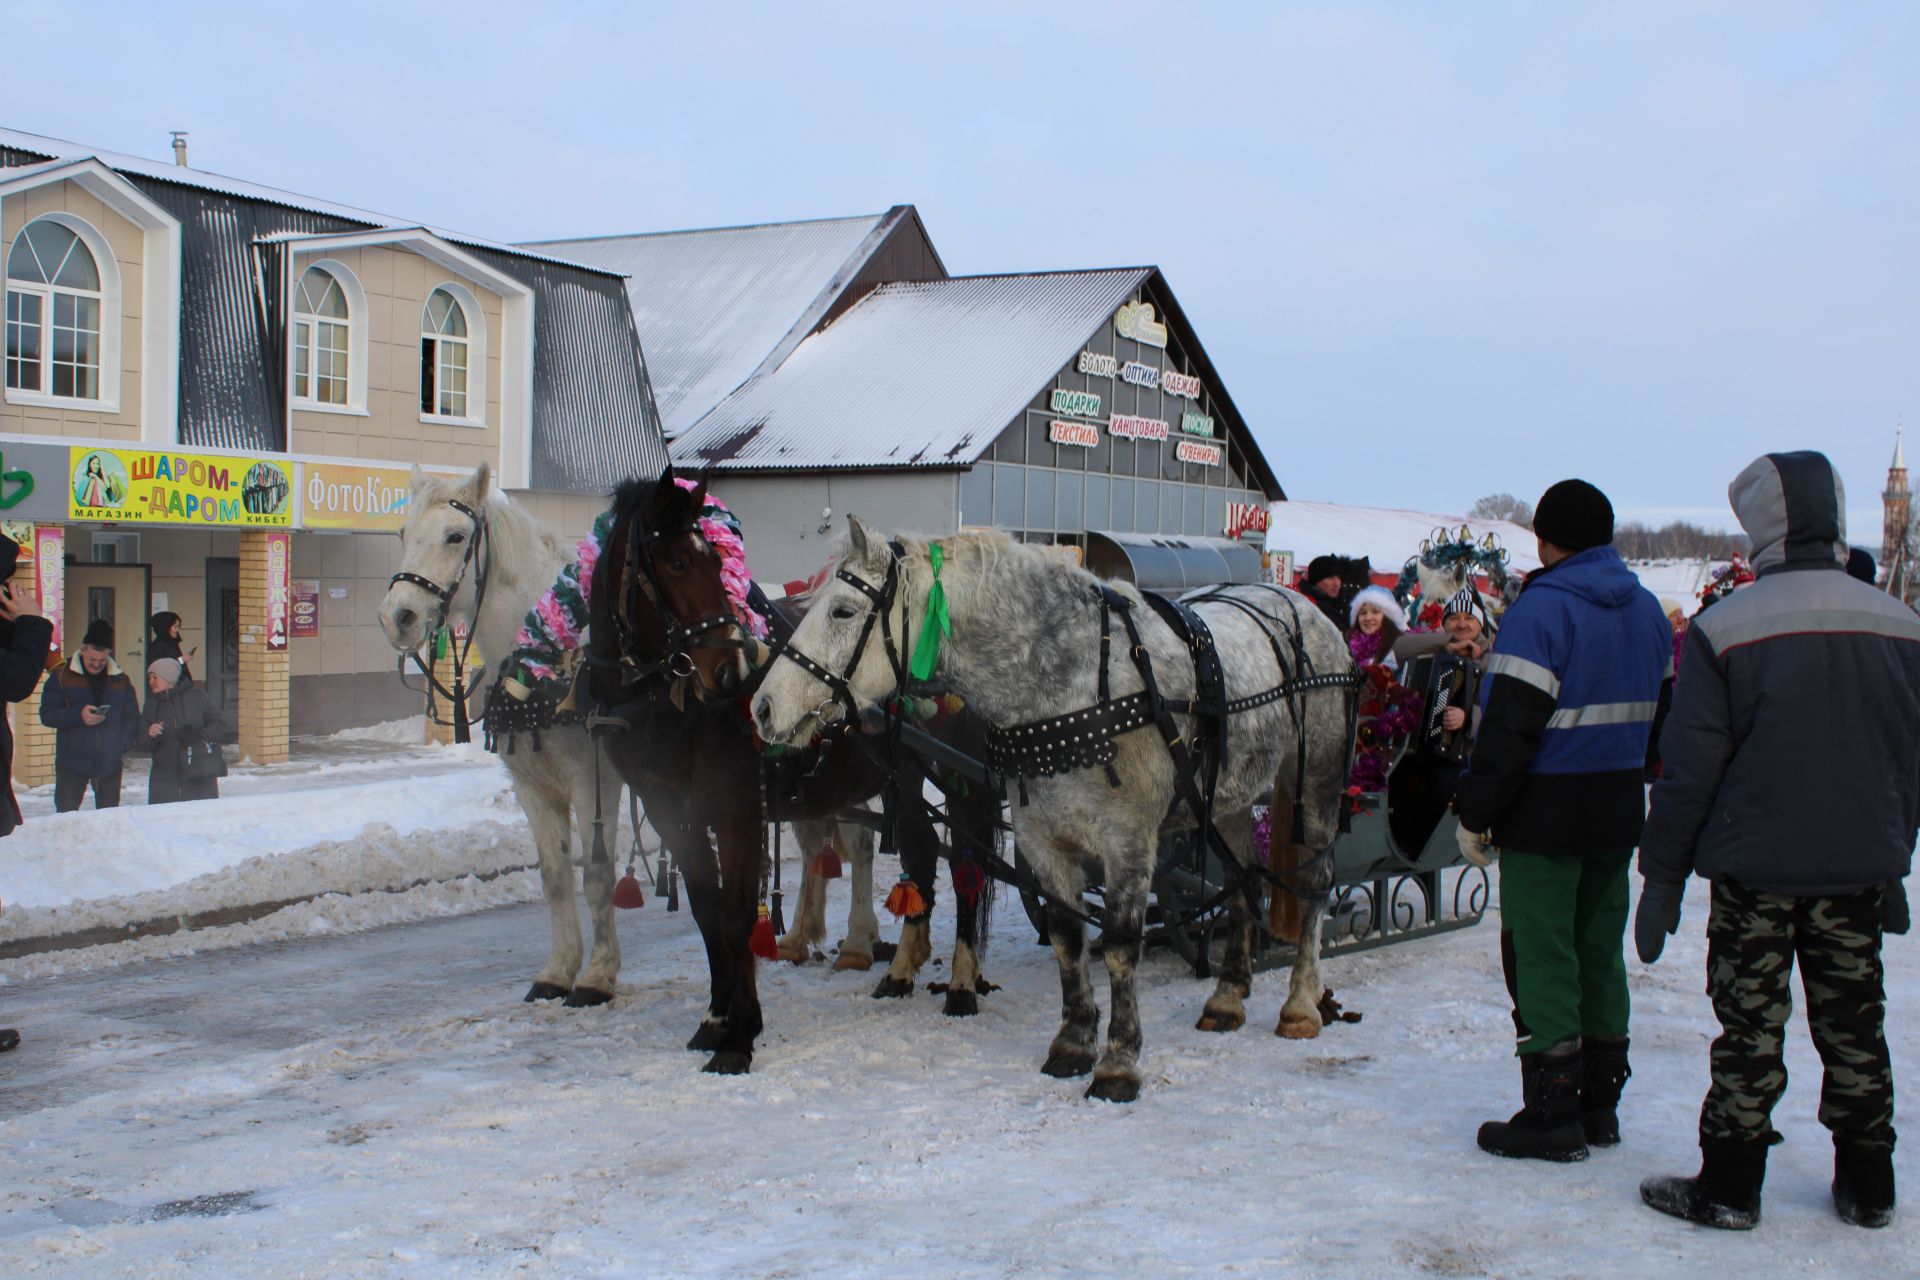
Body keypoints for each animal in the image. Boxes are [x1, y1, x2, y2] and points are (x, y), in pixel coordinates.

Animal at [368, 466, 622, 1005]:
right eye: (403, 534)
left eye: (454, 536)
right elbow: (554, 876)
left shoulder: (595, 783)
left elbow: (597, 874)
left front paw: (598, 976)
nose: (397, 617)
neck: (548, 660)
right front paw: (558, 971)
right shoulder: (532, 786)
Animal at [587, 470, 1006, 1074]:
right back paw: (901, 970)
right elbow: (706, 911)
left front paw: (739, 1034)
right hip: (902, 777)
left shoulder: (738, 814)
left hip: (963, 779)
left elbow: (738, 917)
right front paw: (715, 1019)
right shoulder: (674, 817)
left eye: (715, 562)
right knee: (923, 853)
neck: (673, 707)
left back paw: (962, 983)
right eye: (677, 562)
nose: (730, 672)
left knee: (966, 867)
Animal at [748, 521, 1351, 1105]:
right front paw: (1074, 1042)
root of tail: (1304, 605)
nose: (763, 707)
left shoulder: (1128, 842)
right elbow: (1066, 939)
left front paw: (1118, 1064)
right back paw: (1227, 998)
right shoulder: (1042, 840)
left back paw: (1301, 1003)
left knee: (1315, 883)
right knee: (1243, 878)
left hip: (1316, 780)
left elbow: (1119, 949)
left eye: (843, 611)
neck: (1068, 685)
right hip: (1228, 797)